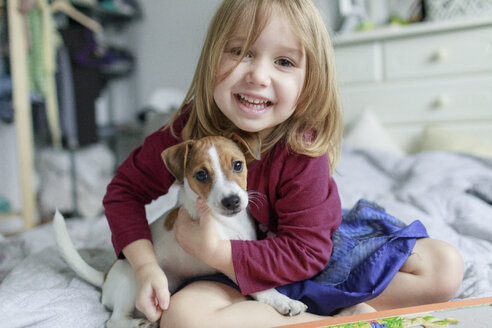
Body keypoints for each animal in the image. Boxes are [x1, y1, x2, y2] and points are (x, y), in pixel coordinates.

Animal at [53, 133, 308, 328]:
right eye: (201, 175)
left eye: (238, 165)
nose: (232, 201)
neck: (226, 223)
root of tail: (106, 277)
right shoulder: (227, 260)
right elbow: (261, 286)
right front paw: (283, 301)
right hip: (134, 283)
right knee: (113, 320)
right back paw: (142, 323)